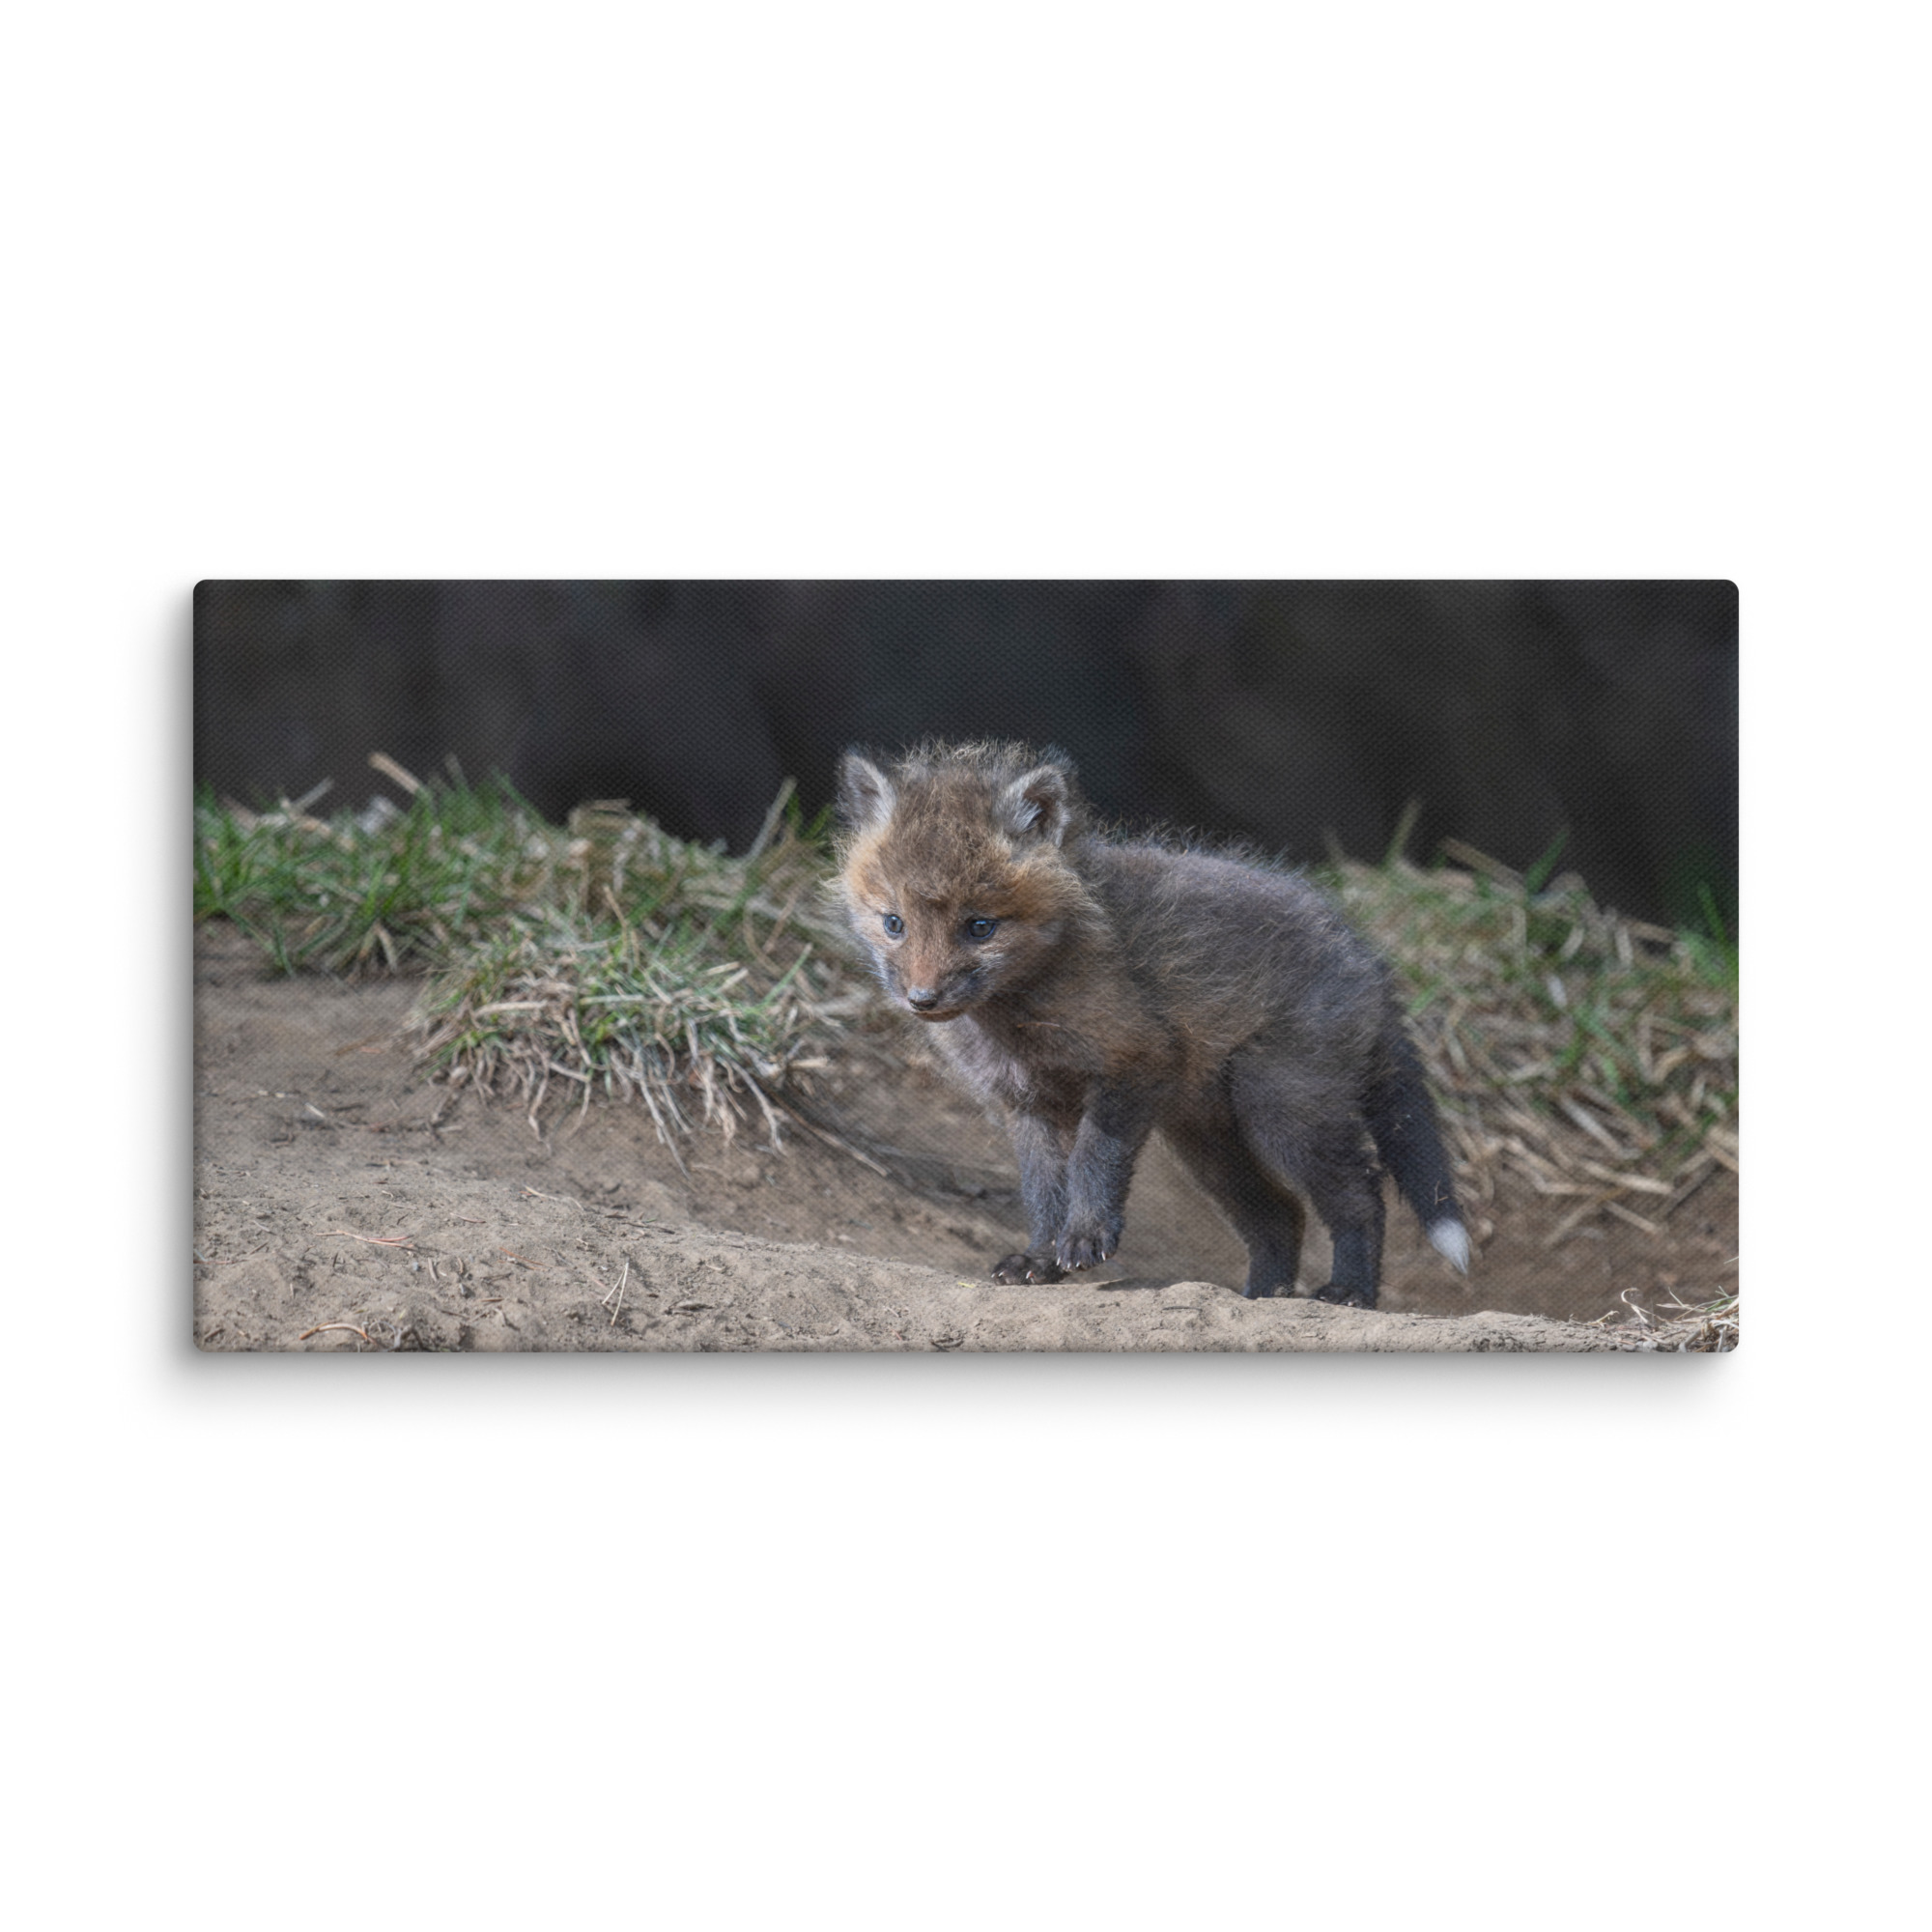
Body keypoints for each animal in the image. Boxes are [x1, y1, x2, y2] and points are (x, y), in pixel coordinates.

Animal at [834, 740, 1471, 1306]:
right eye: (894, 923)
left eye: (980, 927)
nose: (922, 999)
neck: (1016, 1020)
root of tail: (1366, 955)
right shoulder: (1027, 1103)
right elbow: (1043, 1191)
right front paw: (1040, 1259)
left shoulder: (1134, 1061)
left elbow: (1094, 1161)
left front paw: (1085, 1237)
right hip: (1207, 1140)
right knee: (1280, 1214)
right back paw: (1263, 1298)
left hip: (1283, 1110)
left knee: (1361, 1195)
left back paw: (1350, 1292)